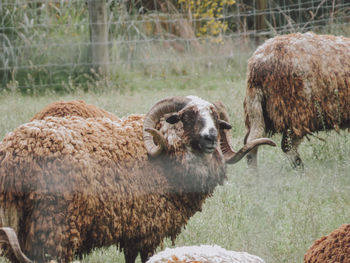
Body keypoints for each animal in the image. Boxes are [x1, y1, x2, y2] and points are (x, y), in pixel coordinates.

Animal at [0, 95, 276, 263]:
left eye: (216, 120)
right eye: (187, 116)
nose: (211, 138)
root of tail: (16, 152)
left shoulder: (132, 229)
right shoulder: (147, 228)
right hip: (52, 225)